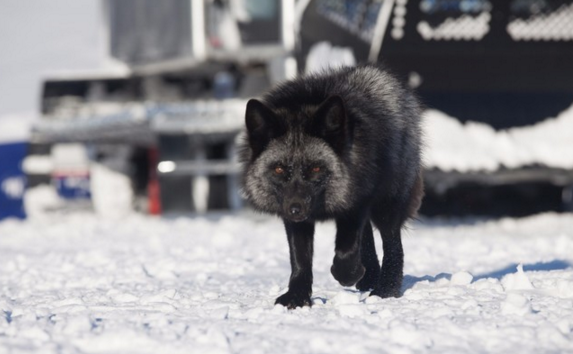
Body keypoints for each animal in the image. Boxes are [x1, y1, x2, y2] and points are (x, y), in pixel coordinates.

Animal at [239, 65, 422, 308]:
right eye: (279, 169)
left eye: (316, 168)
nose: (295, 209)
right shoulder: (296, 218)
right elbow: (300, 258)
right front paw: (297, 295)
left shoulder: (356, 199)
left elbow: (346, 249)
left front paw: (348, 274)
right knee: (367, 235)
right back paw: (370, 277)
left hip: (388, 201)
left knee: (391, 241)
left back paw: (386, 288)